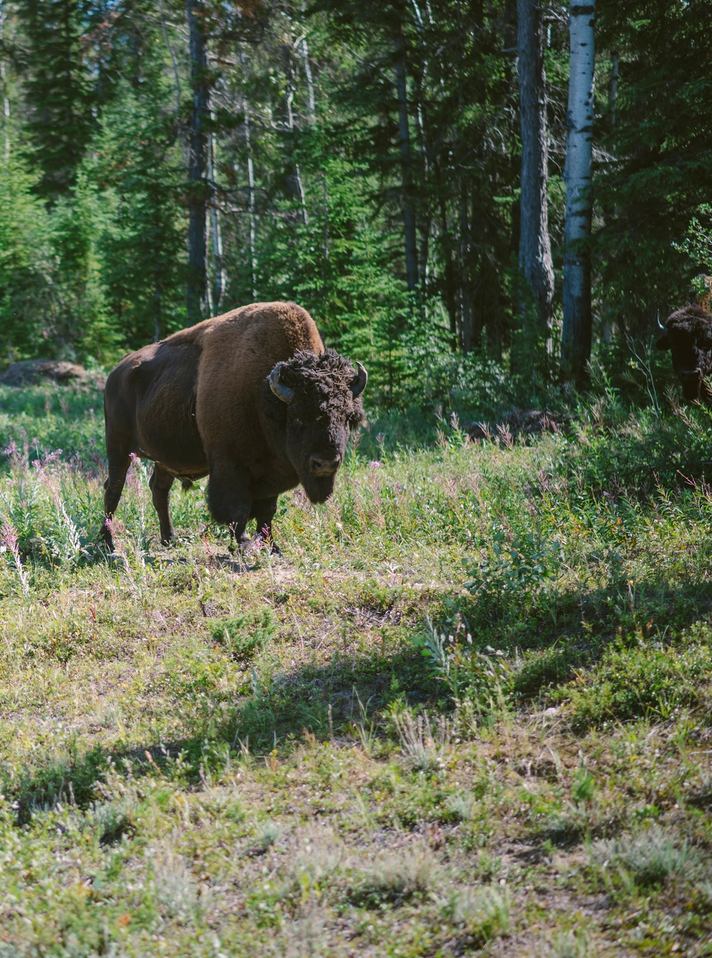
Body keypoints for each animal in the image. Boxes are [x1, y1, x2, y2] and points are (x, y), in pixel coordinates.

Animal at [101, 301, 367, 552]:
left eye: (347, 417)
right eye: (298, 417)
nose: (326, 463)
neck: (264, 397)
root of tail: (115, 373)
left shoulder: (270, 472)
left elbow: (267, 511)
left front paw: (272, 546)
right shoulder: (230, 465)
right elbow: (237, 510)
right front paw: (244, 543)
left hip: (164, 458)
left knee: (159, 490)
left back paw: (169, 539)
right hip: (119, 447)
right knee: (113, 488)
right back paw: (108, 544)